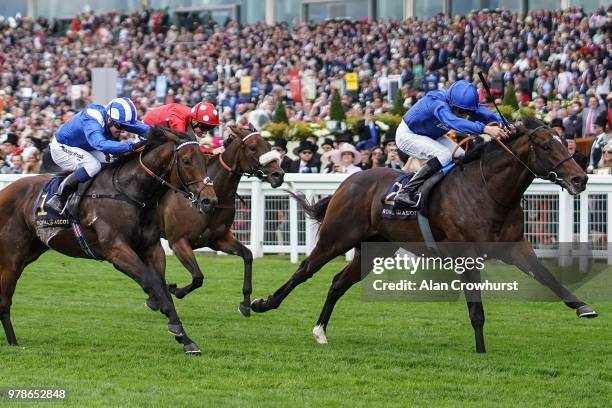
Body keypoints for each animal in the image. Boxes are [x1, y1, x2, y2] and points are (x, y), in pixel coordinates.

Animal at [0, 127, 218, 354]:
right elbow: (151, 281)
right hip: (12, 259)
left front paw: (185, 338)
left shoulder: (152, 248)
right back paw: (13, 342)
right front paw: (168, 317)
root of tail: (4, 191)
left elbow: (161, 286)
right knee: (4, 302)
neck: (131, 193)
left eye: (205, 159)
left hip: (28, 254)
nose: (209, 200)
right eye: (186, 160)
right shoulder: (116, 250)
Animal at [155, 124, 284, 316]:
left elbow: (248, 255)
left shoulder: (218, 239)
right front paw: (175, 290)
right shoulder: (178, 242)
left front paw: (246, 303)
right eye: (253, 147)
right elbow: (198, 277)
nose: (279, 175)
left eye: (269, 145)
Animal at [252, 116, 596, 352]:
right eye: (547, 146)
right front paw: (481, 351)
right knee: (304, 270)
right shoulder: (467, 257)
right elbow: (476, 310)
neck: (489, 191)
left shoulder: (515, 247)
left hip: (376, 249)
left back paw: (320, 330)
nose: (580, 179)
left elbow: (546, 277)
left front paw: (583, 307)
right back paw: (261, 304)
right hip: (336, 238)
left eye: (565, 142)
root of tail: (348, 181)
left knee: (338, 282)